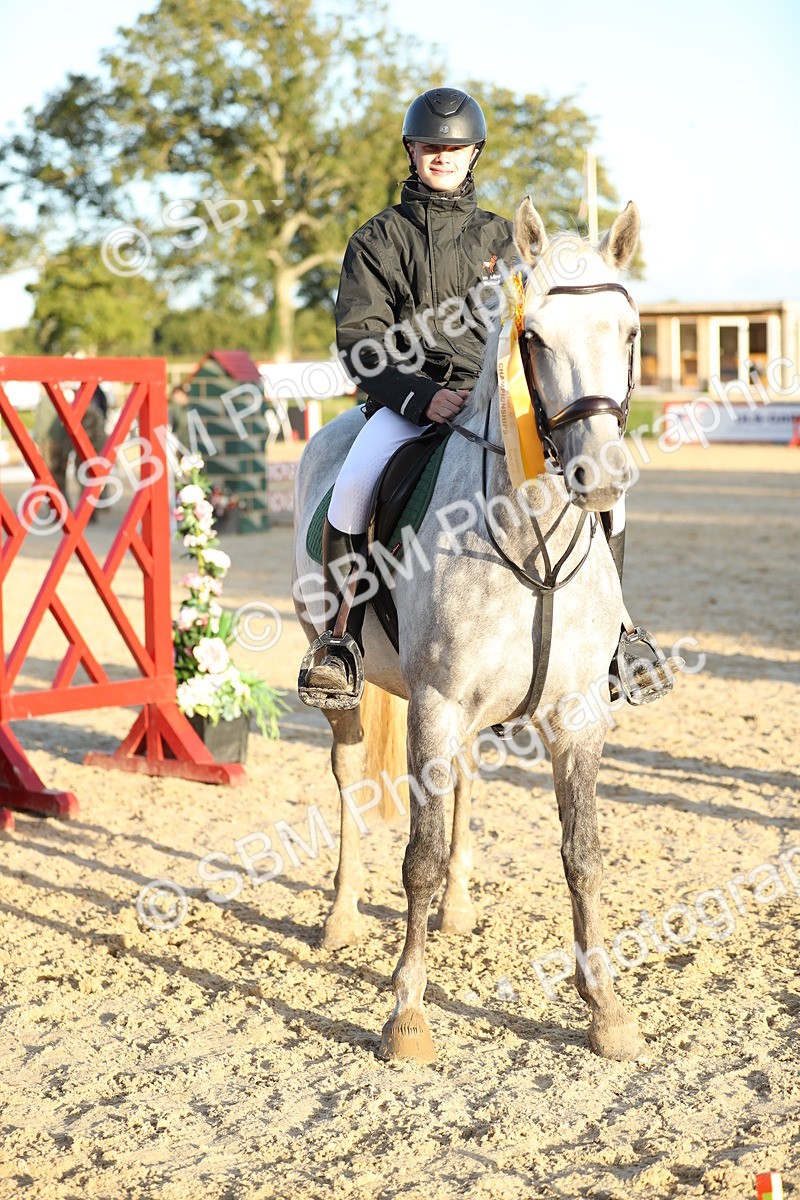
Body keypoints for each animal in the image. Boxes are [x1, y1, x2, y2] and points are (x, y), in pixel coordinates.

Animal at [292, 198, 647, 1063]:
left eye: (627, 332)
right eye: (534, 337)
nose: (601, 479)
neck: (533, 543)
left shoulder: (574, 713)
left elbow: (583, 854)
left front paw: (607, 1009)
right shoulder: (436, 701)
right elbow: (415, 859)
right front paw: (407, 1013)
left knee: (463, 785)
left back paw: (456, 909)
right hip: (353, 692)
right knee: (349, 781)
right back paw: (342, 917)